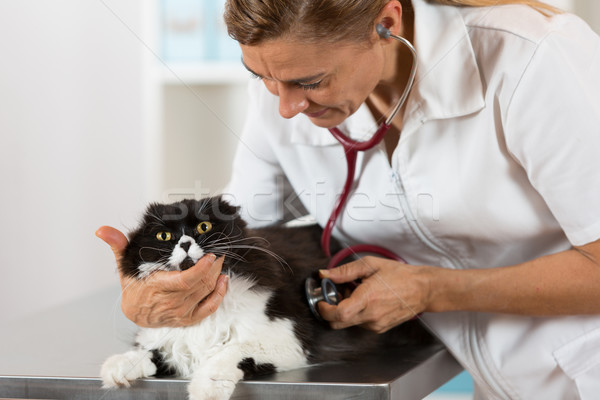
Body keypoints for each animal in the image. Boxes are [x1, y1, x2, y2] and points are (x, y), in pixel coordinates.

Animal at [99, 197, 426, 400]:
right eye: (164, 237)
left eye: (204, 227)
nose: (186, 243)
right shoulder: (170, 337)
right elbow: (150, 351)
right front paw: (117, 368)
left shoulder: (289, 340)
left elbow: (230, 352)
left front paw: (206, 388)